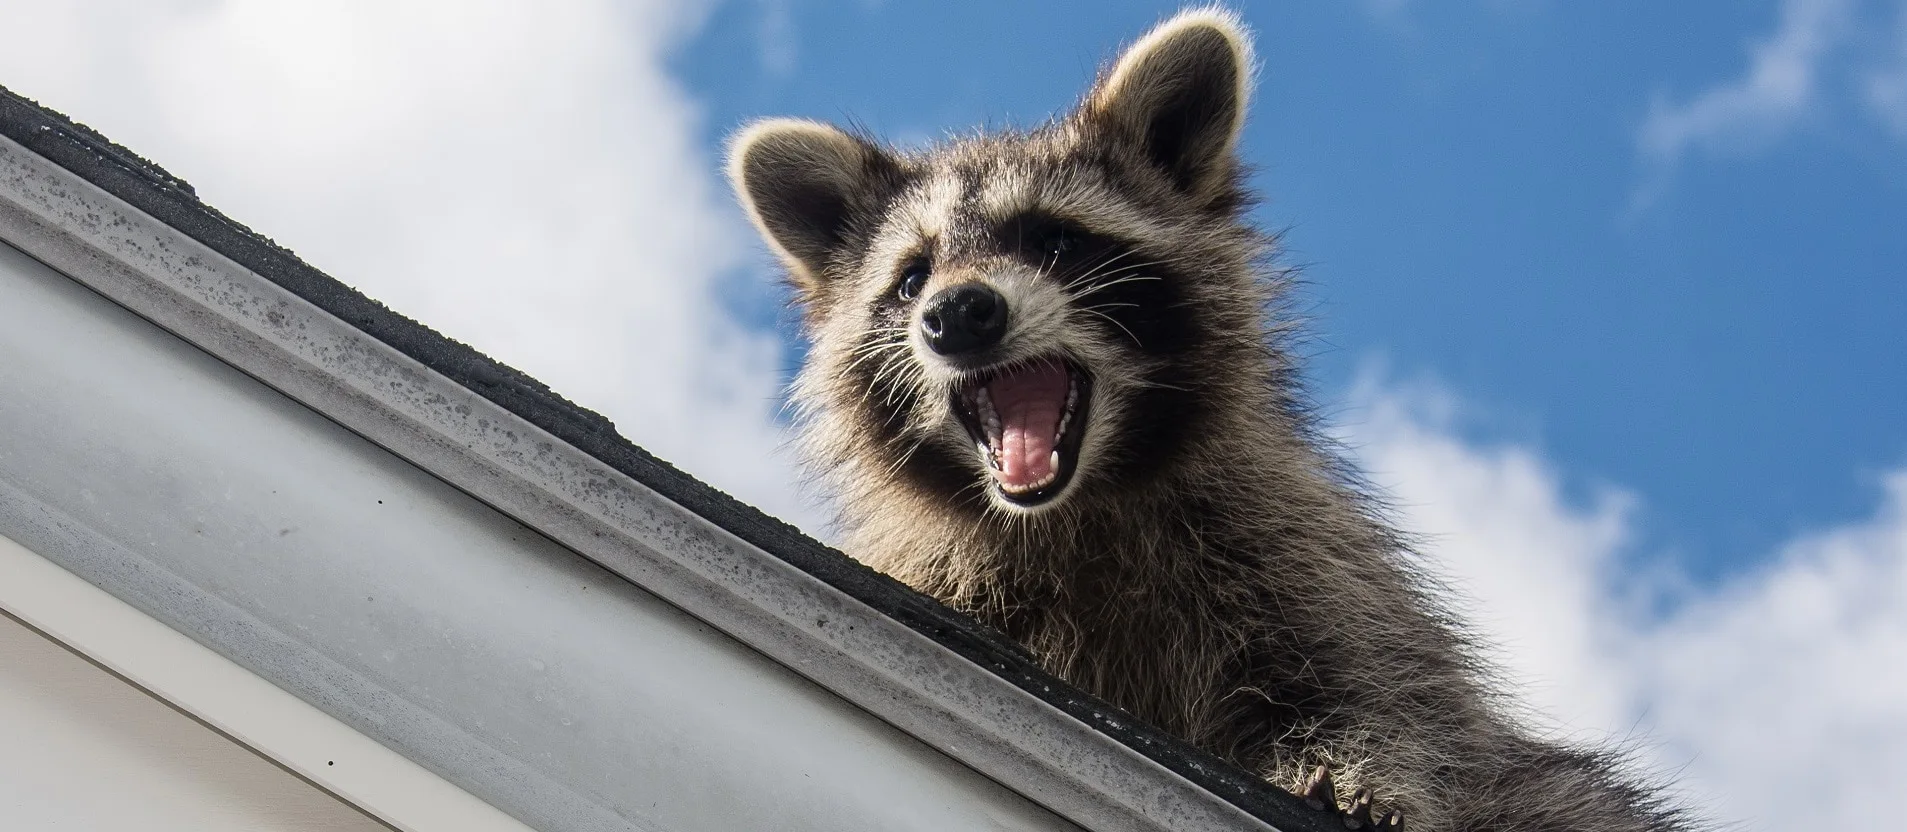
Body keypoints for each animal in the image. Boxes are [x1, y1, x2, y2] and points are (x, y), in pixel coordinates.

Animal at [728, 8, 1692, 832]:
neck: (1080, 504)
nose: (957, 314)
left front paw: (1359, 772)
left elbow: (1381, 691)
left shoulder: (1302, 557)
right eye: (912, 277)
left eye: (1052, 240)